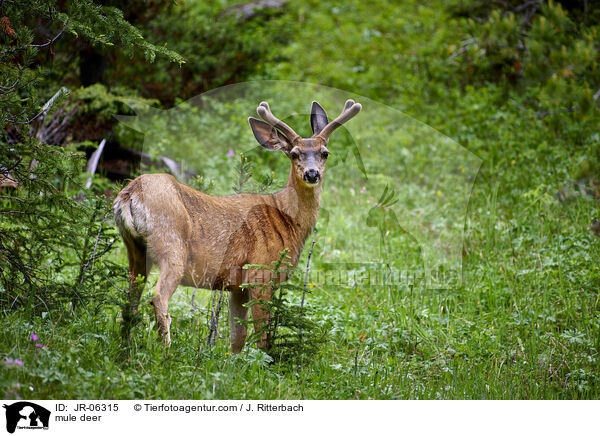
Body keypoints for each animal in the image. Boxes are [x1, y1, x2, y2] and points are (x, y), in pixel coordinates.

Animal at [115, 99, 364, 350]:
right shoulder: (260, 273)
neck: (286, 217)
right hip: (172, 245)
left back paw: (125, 349)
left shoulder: (236, 286)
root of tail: (130, 193)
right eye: (294, 154)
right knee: (158, 298)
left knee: (130, 300)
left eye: (325, 153)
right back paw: (165, 351)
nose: (312, 174)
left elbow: (238, 337)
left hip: (134, 250)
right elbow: (262, 335)